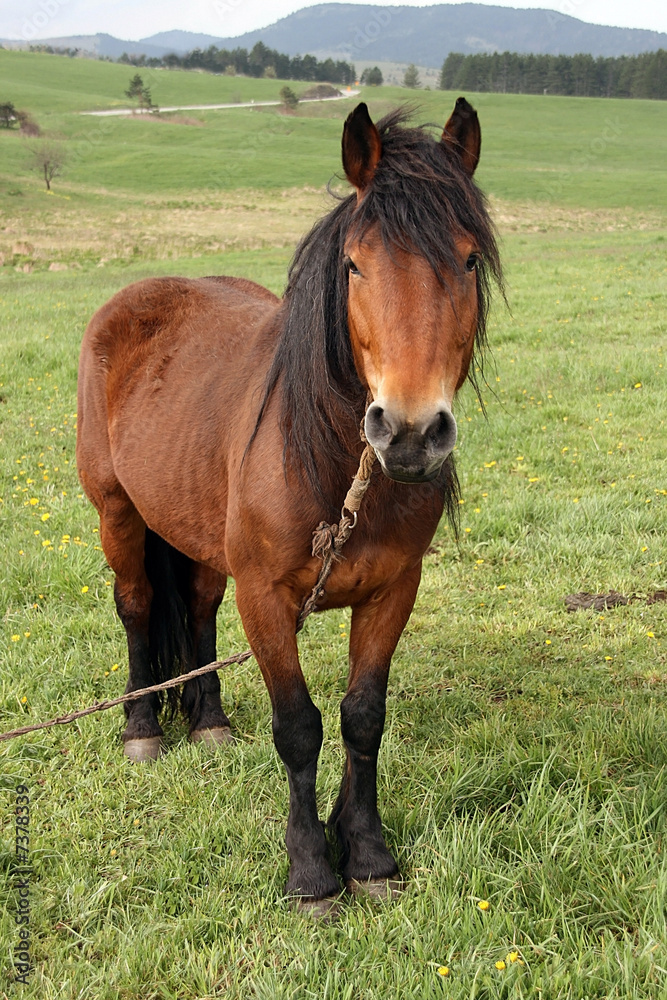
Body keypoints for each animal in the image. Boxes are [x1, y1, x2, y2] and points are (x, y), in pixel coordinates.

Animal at [76, 99, 501, 912]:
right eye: (355, 264)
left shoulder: (393, 591)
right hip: (118, 514)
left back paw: (207, 720)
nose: (408, 431)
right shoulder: (267, 599)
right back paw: (142, 726)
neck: (335, 468)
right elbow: (299, 727)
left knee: (198, 606)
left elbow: (362, 718)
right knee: (138, 604)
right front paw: (310, 871)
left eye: (468, 261)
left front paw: (367, 854)